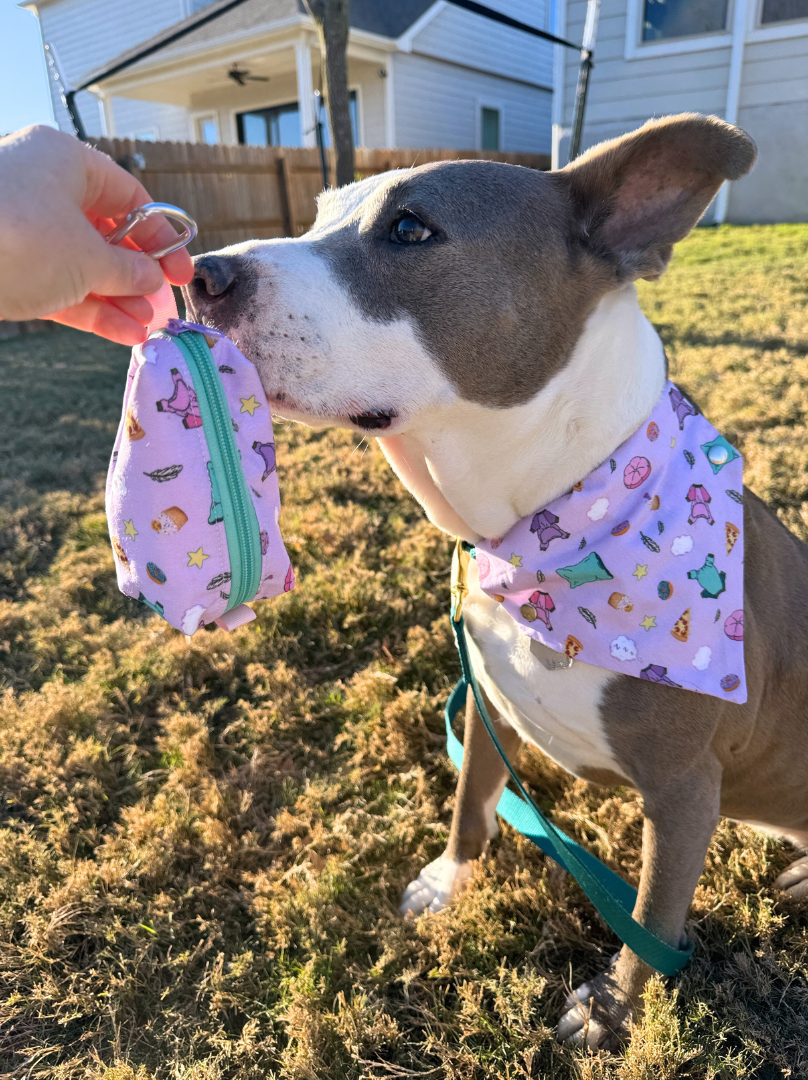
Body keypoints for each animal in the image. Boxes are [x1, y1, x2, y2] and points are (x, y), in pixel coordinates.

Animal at [181, 116, 808, 1045]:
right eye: (322, 213)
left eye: (411, 228)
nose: (201, 275)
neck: (544, 532)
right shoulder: (484, 700)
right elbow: (472, 799)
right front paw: (448, 882)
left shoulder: (685, 792)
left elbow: (653, 917)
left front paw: (611, 1012)